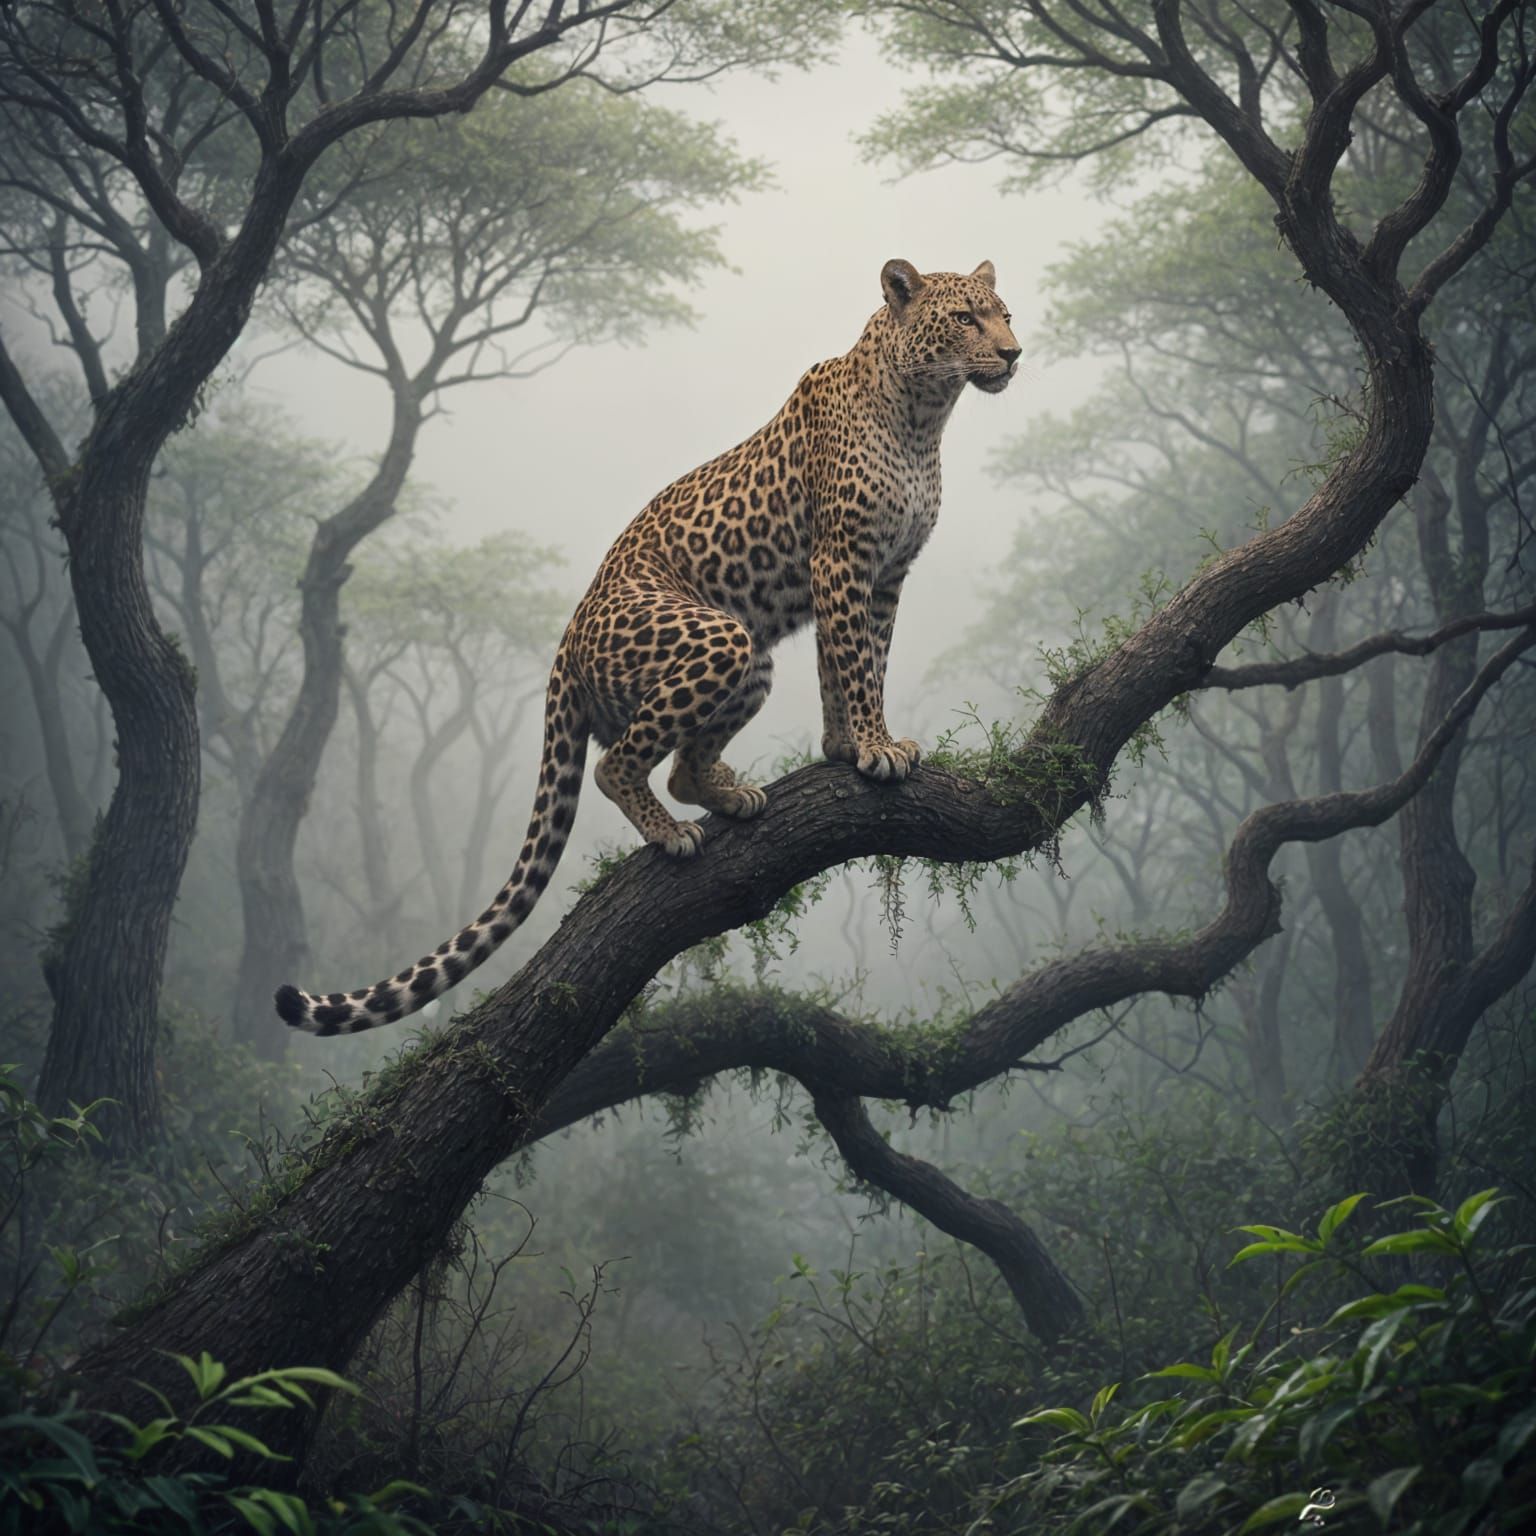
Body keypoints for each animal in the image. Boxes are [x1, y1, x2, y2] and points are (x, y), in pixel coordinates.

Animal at [276, 258, 1019, 1035]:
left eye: (1006, 315)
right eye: (965, 318)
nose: (1013, 354)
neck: (922, 416)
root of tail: (566, 642)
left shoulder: (885, 574)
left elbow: (853, 662)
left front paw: (848, 747)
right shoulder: (841, 560)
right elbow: (856, 663)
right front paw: (875, 748)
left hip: (751, 661)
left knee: (683, 767)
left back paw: (726, 793)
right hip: (717, 634)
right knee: (615, 765)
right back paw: (671, 831)